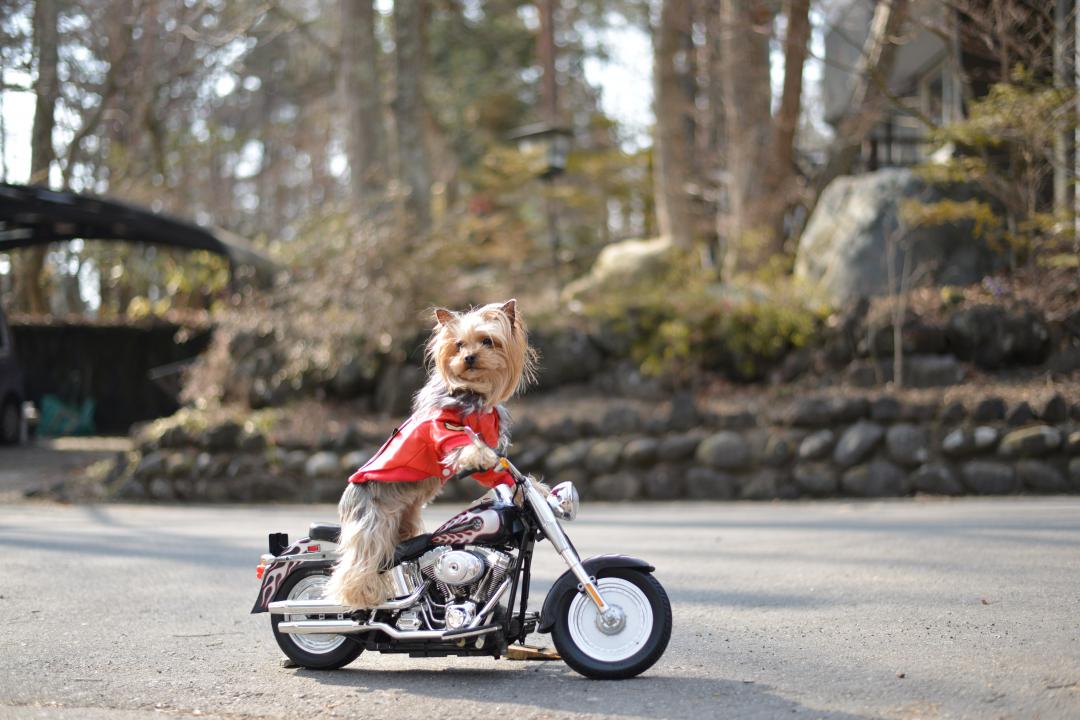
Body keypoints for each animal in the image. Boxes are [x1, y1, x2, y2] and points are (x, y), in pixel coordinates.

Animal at [324, 297, 535, 608]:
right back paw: (359, 595)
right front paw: (480, 455)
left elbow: (501, 476)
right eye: (458, 345)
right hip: (373, 520)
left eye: (487, 341)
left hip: (405, 517)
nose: (469, 358)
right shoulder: (444, 431)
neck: (473, 393)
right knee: (361, 559)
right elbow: (464, 448)